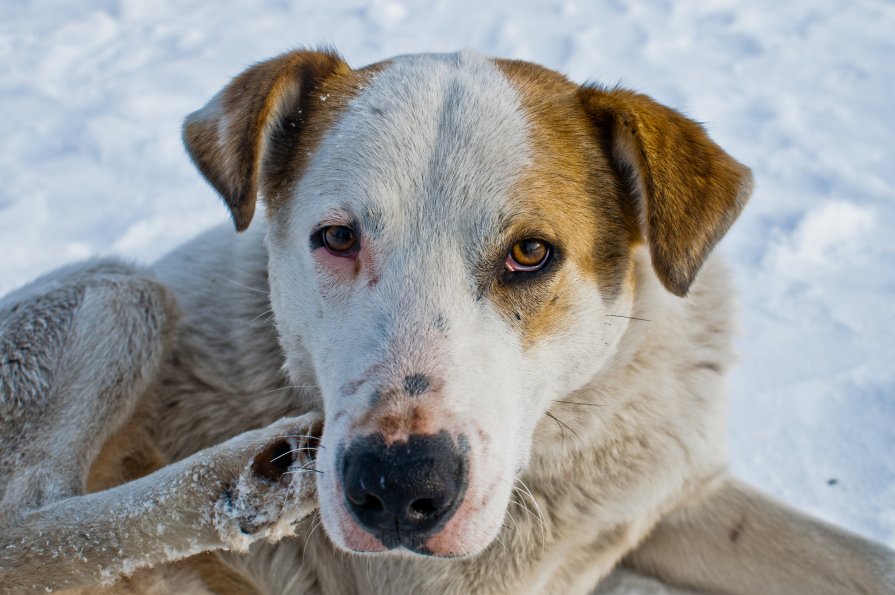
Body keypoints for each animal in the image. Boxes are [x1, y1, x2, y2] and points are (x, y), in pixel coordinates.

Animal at [1, 49, 895, 592]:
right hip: (121, 295)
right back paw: (241, 478)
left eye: (530, 252)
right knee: (28, 515)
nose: (398, 488)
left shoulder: (675, 492)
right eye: (337, 237)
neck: (570, 431)